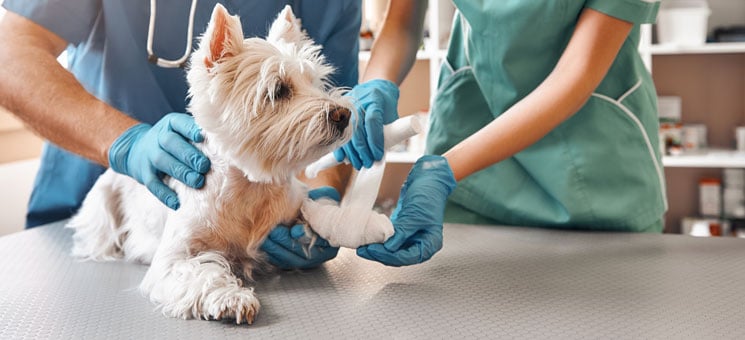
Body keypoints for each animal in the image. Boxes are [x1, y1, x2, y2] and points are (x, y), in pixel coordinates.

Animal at [66, 4, 352, 324]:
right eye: (278, 90)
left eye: (315, 82)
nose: (343, 114)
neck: (250, 190)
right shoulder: (174, 258)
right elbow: (202, 274)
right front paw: (233, 298)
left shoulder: (293, 204)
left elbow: (316, 212)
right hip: (102, 207)